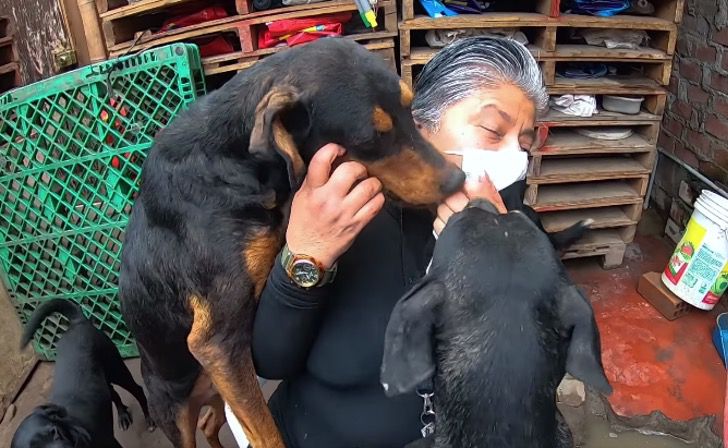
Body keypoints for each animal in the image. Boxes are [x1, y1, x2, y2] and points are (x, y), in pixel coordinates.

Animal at [10, 298, 151, 448]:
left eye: (55, 432)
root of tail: (77, 322)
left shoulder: (111, 443)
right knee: (114, 393)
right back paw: (122, 415)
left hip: (117, 370)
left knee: (138, 390)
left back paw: (149, 418)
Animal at [116, 38, 464, 448]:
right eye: (369, 139)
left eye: (411, 110)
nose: (457, 179)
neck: (236, 161)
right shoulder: (217, 342)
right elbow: (268, 434)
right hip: (175, 407)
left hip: (217, 392)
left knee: (211, 423)